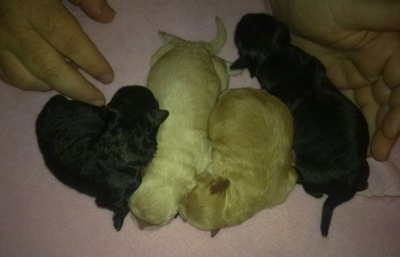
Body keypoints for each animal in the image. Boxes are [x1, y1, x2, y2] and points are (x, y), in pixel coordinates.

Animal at [128, 17, 228, 227]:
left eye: (157, 224)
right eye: (133, 213)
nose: (140, 226)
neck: (171, 157)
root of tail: (197, 46)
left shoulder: (206, 154)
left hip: (221, 76)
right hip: (159, 55)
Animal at [230, 13, 370, 235]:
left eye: (239, 37)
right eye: (262, 17)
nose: (245, 15)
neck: (276, 53)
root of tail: (350, 184)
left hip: (309, 171)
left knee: (314, 191)